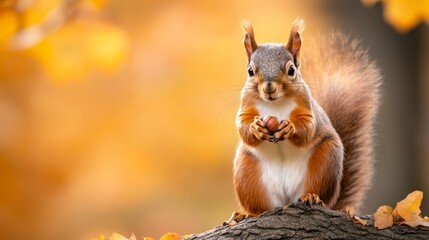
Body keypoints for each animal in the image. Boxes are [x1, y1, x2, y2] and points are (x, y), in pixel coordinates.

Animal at [232, 17, 380, 218]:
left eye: (291, 70)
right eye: (250, 71)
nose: (269, 88)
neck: (275, 104)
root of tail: (286, 200)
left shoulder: (307, 107)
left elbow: (308, 128)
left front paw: (290, 127)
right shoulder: (246, 106)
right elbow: (243, 127)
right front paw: (256, 128)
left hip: (324, 164)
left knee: (317, 190)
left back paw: (311, 196)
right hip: (247, 175)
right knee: (259, 207)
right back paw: (248, 214)